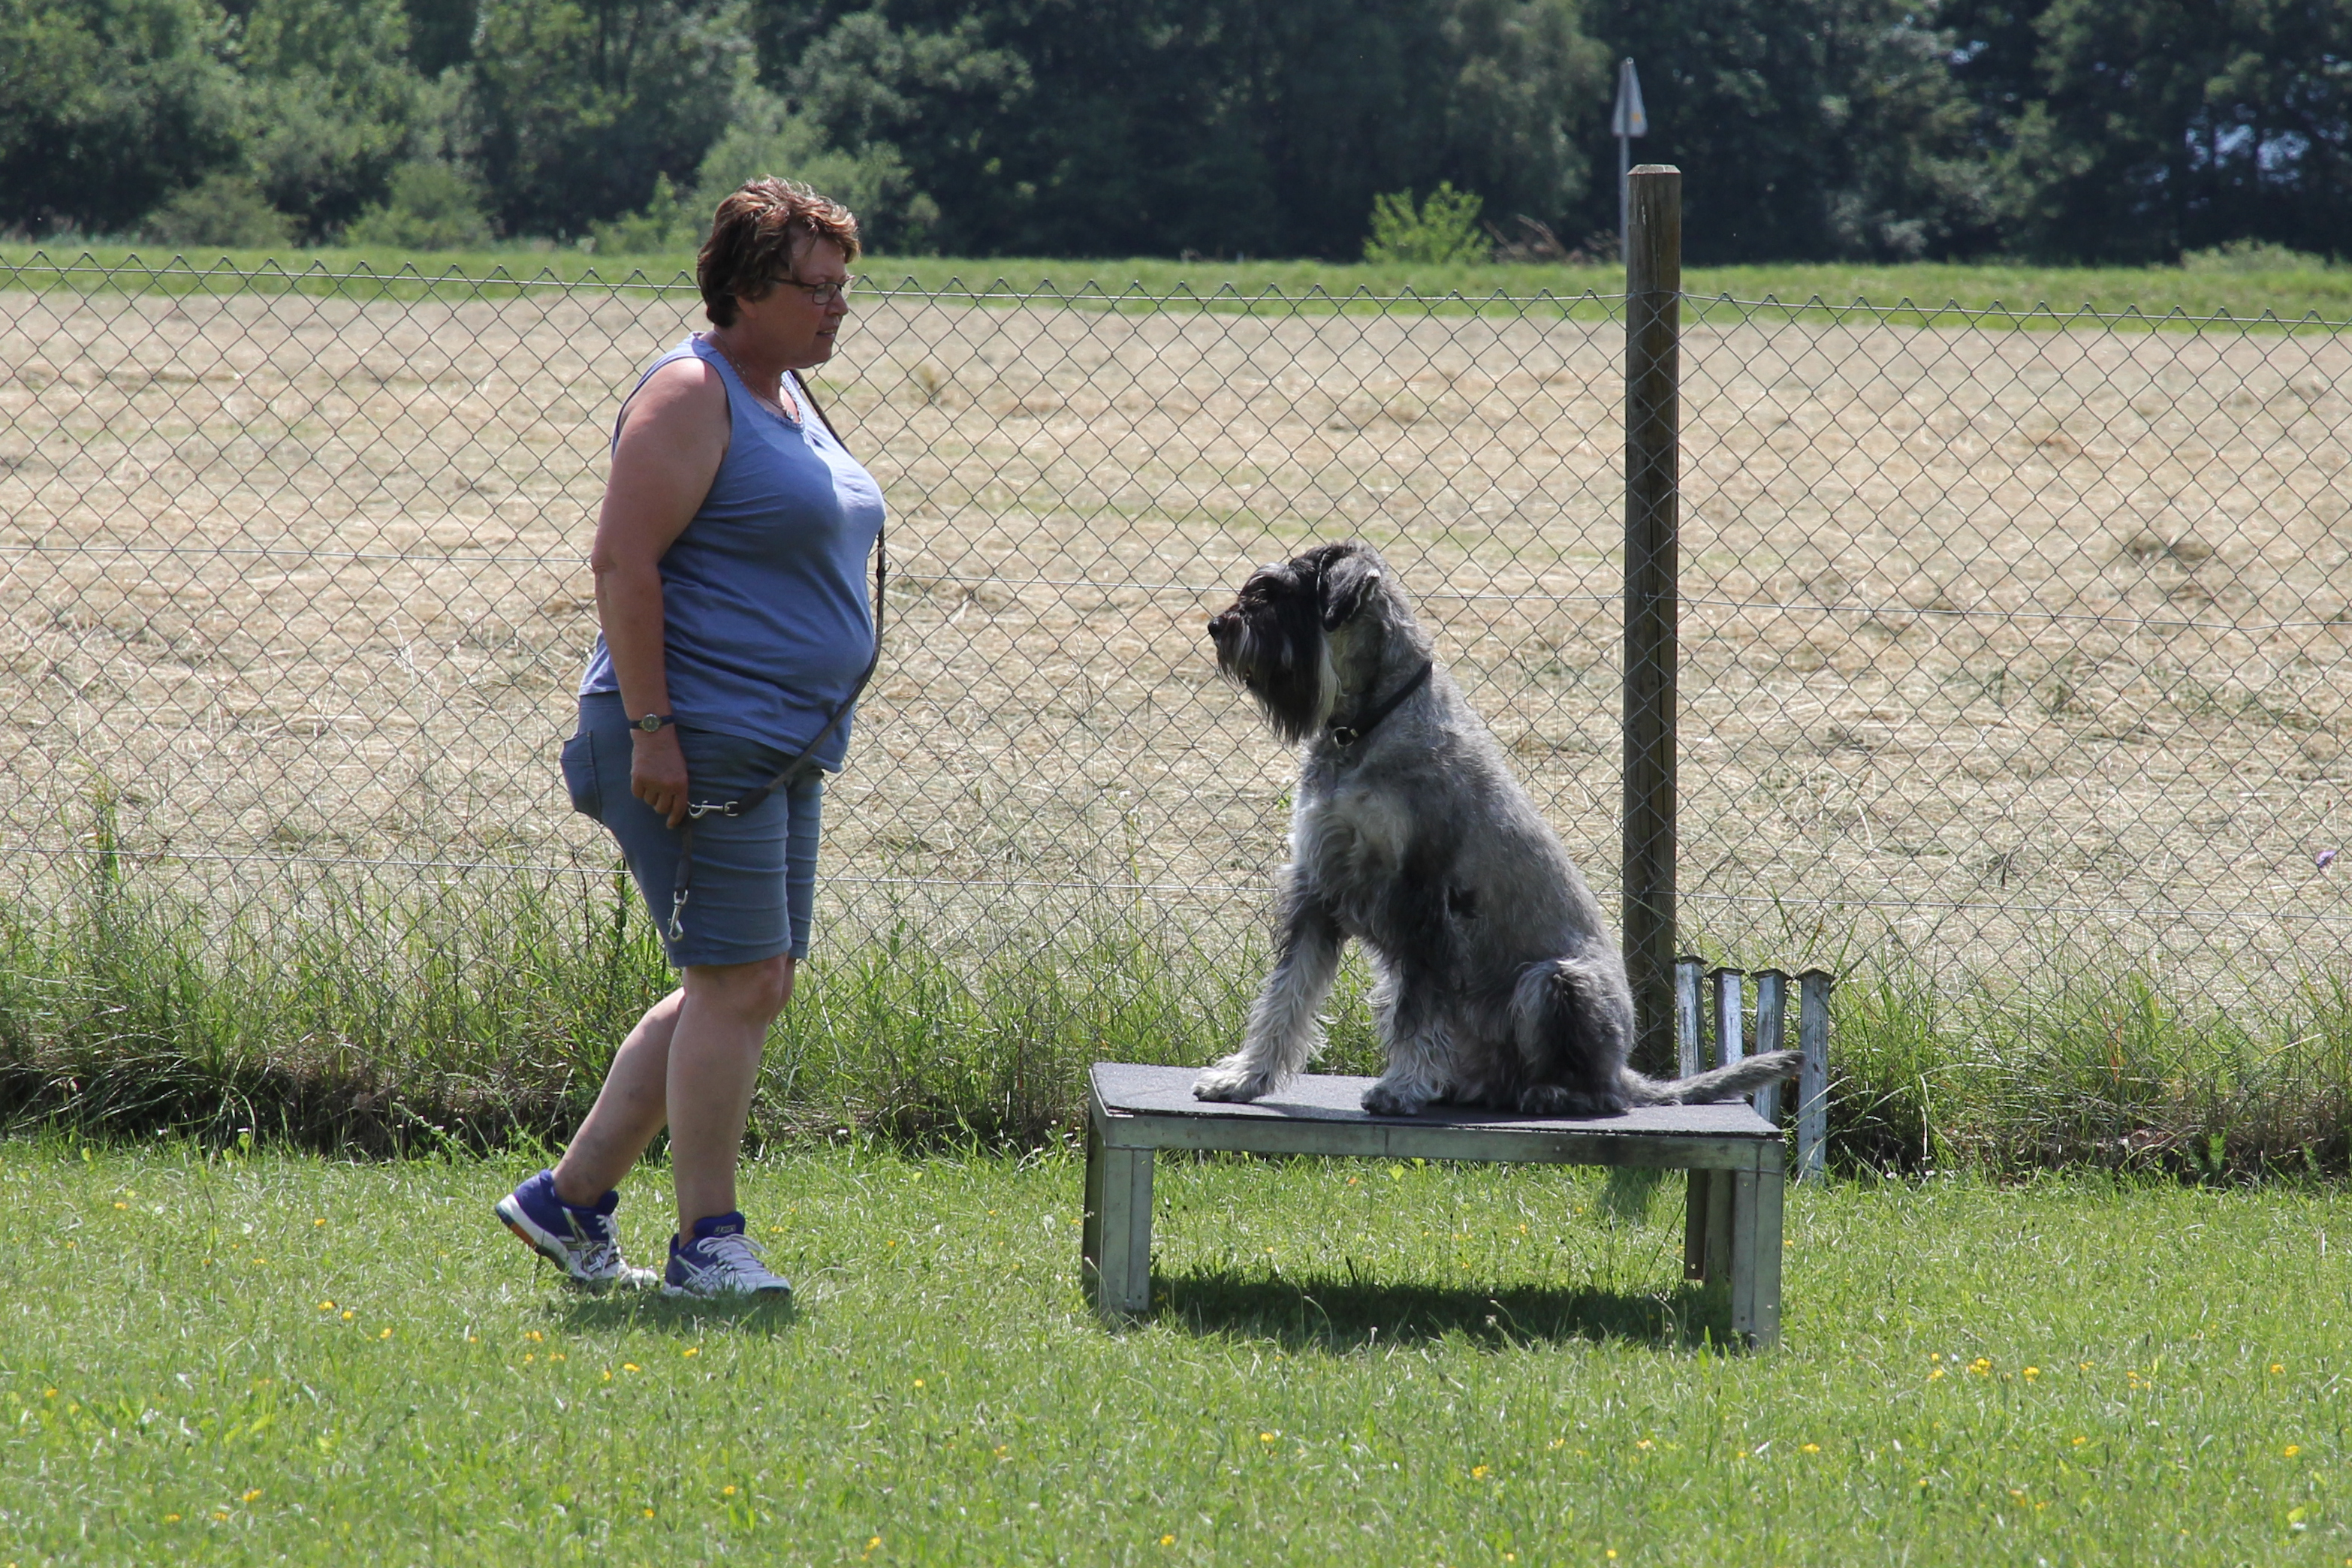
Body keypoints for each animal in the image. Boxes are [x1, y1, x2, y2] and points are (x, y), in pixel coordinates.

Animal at [1193, 540, 1800, 1118]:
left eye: (1280, 595)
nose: (1219, 626)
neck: (1364, 727)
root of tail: (1625, 1070)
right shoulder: (1316, 887)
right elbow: (1285, 996)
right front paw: (1243, 1078)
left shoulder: (1423, 899)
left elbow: (1420, 1009)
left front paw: (1401, 1087)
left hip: (1555, 982)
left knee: (1597, 1092)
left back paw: (1550, 1094)